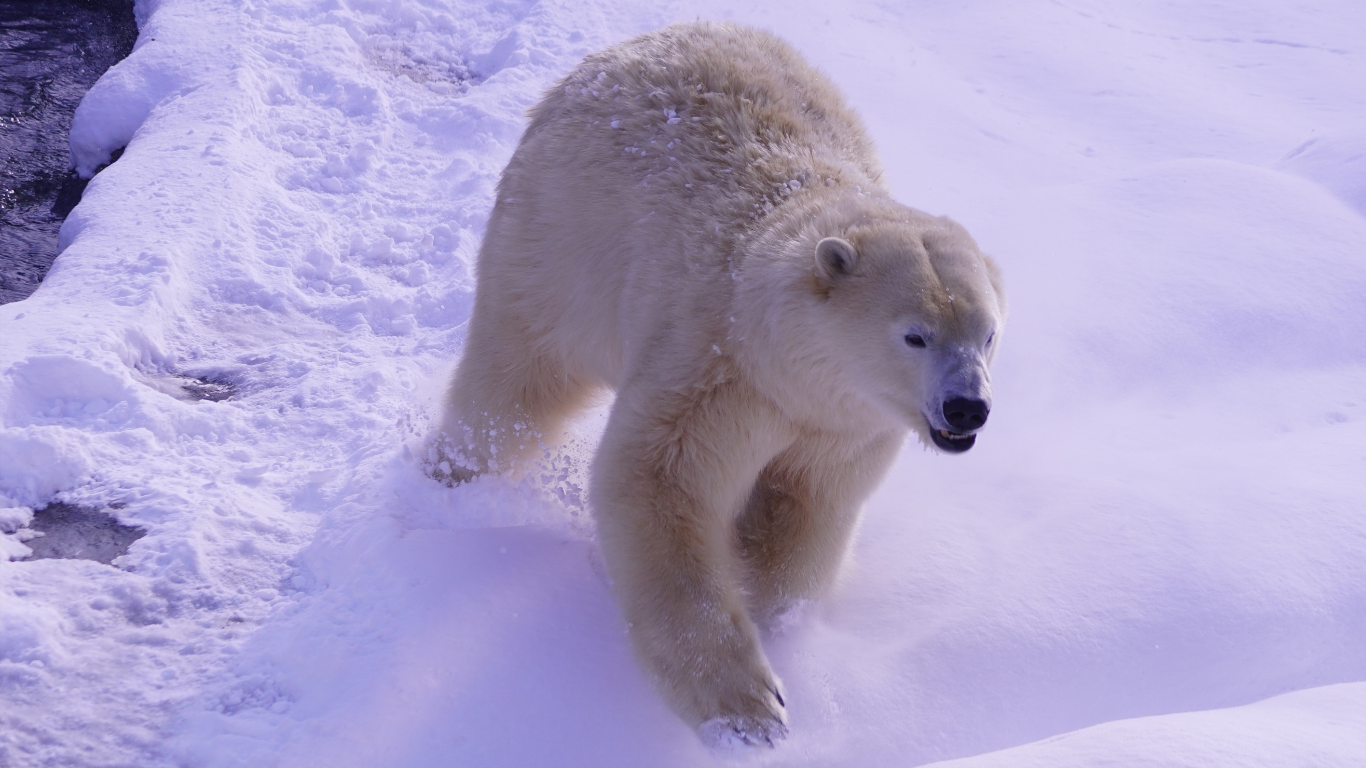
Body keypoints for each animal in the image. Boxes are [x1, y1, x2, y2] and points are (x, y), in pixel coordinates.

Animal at [429, 21, 1006, 748]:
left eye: (988, 334)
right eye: (915, 336)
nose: (968, 408)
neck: (782, 356)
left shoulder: (843, 424)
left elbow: (805, 509)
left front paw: (781, 623)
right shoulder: (718, 372)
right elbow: (662, 482)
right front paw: (749, 710)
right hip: (559, 236)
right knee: (519, 374)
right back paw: (454, 475)